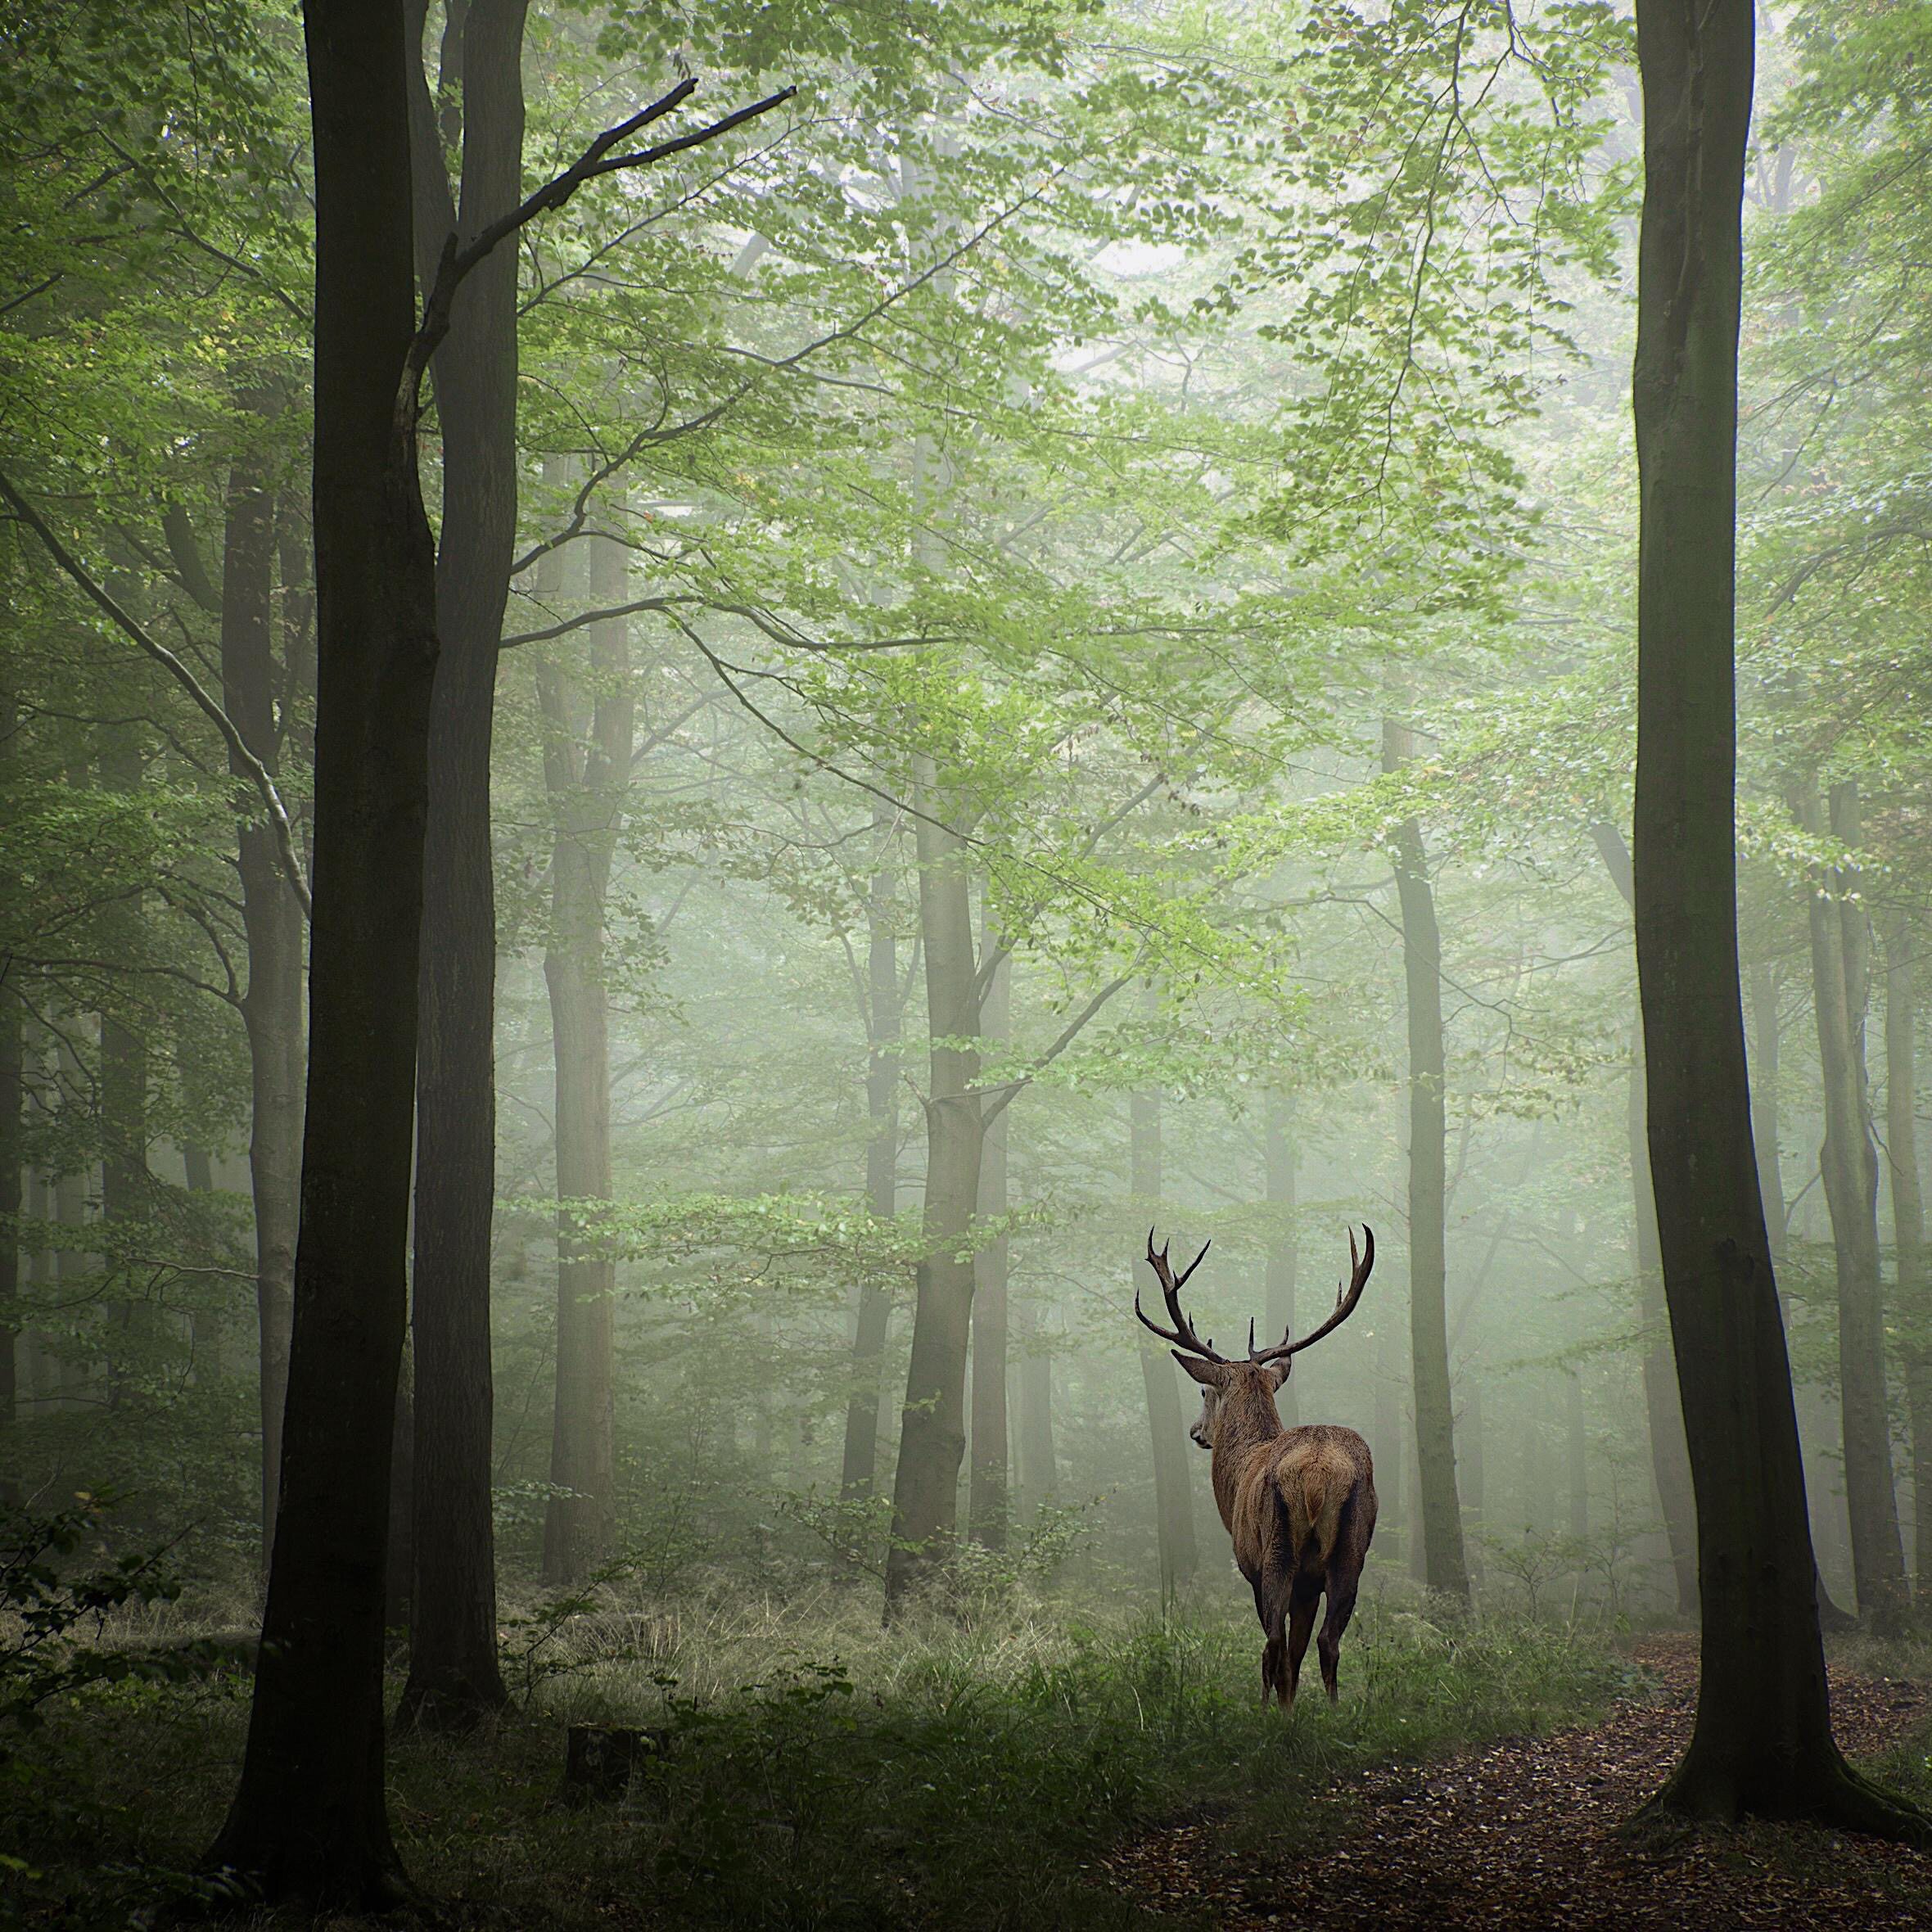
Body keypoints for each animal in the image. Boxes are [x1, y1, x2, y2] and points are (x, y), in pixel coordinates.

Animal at [1136, 1226, 1377, 1709]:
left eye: (1205, 1392)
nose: (1195, 1432)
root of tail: (1318, 1475)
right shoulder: (1309, 1584)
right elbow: (1299, 1649)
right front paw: (1294, 1704)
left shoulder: (1248, 1562)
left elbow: (1278, 1647)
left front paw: (1276, 1707)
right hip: (1352, 1549)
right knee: (1327, 1641)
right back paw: (1333, 1712)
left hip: (1276, 1548)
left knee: (1273, 1644)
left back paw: (1271, 1713)